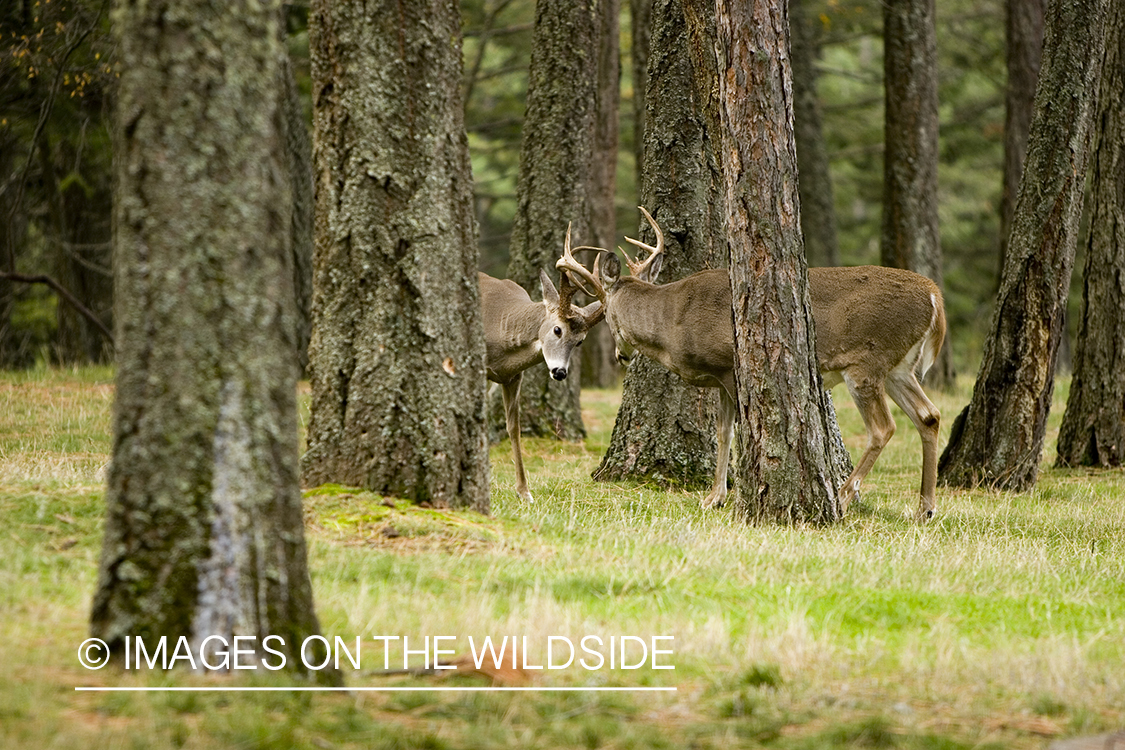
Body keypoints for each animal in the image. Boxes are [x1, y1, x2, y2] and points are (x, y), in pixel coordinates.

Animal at [483, 226, 607, 501]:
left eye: (580, 342)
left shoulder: (512, 376)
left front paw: (524, 492)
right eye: (557, 329)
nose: (560, 372)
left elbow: (514, 428)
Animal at [558, 208, 945, 519]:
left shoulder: (730, 366)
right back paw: (924, 508)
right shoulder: (720, 376)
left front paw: (740, 490)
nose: (619, 356)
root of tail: (934, 297)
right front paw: (713, 498)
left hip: (867, 361)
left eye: (605, 316)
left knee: (883, 428)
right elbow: (723, 432)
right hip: (899, 369)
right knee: (929, 416)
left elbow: (743, 431)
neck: (673, 322)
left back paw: (846, 496)